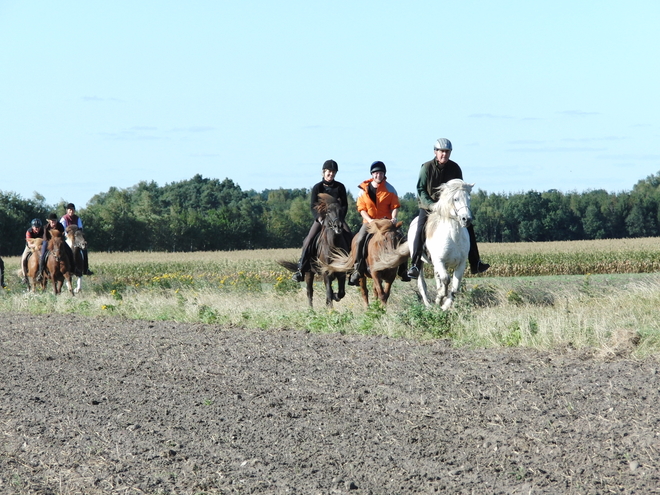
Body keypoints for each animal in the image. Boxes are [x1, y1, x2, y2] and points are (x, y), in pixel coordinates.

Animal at [408, 178, 474, 310]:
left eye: (469, 198)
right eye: (455, 199)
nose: (466, 219)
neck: (454, 236)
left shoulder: (460, 264)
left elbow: (455, 286)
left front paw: (445, 305)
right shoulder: (439, 261)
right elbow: (446, 279)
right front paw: (439, 298)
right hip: (420, 262)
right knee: (422, 284)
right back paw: (428, 304)